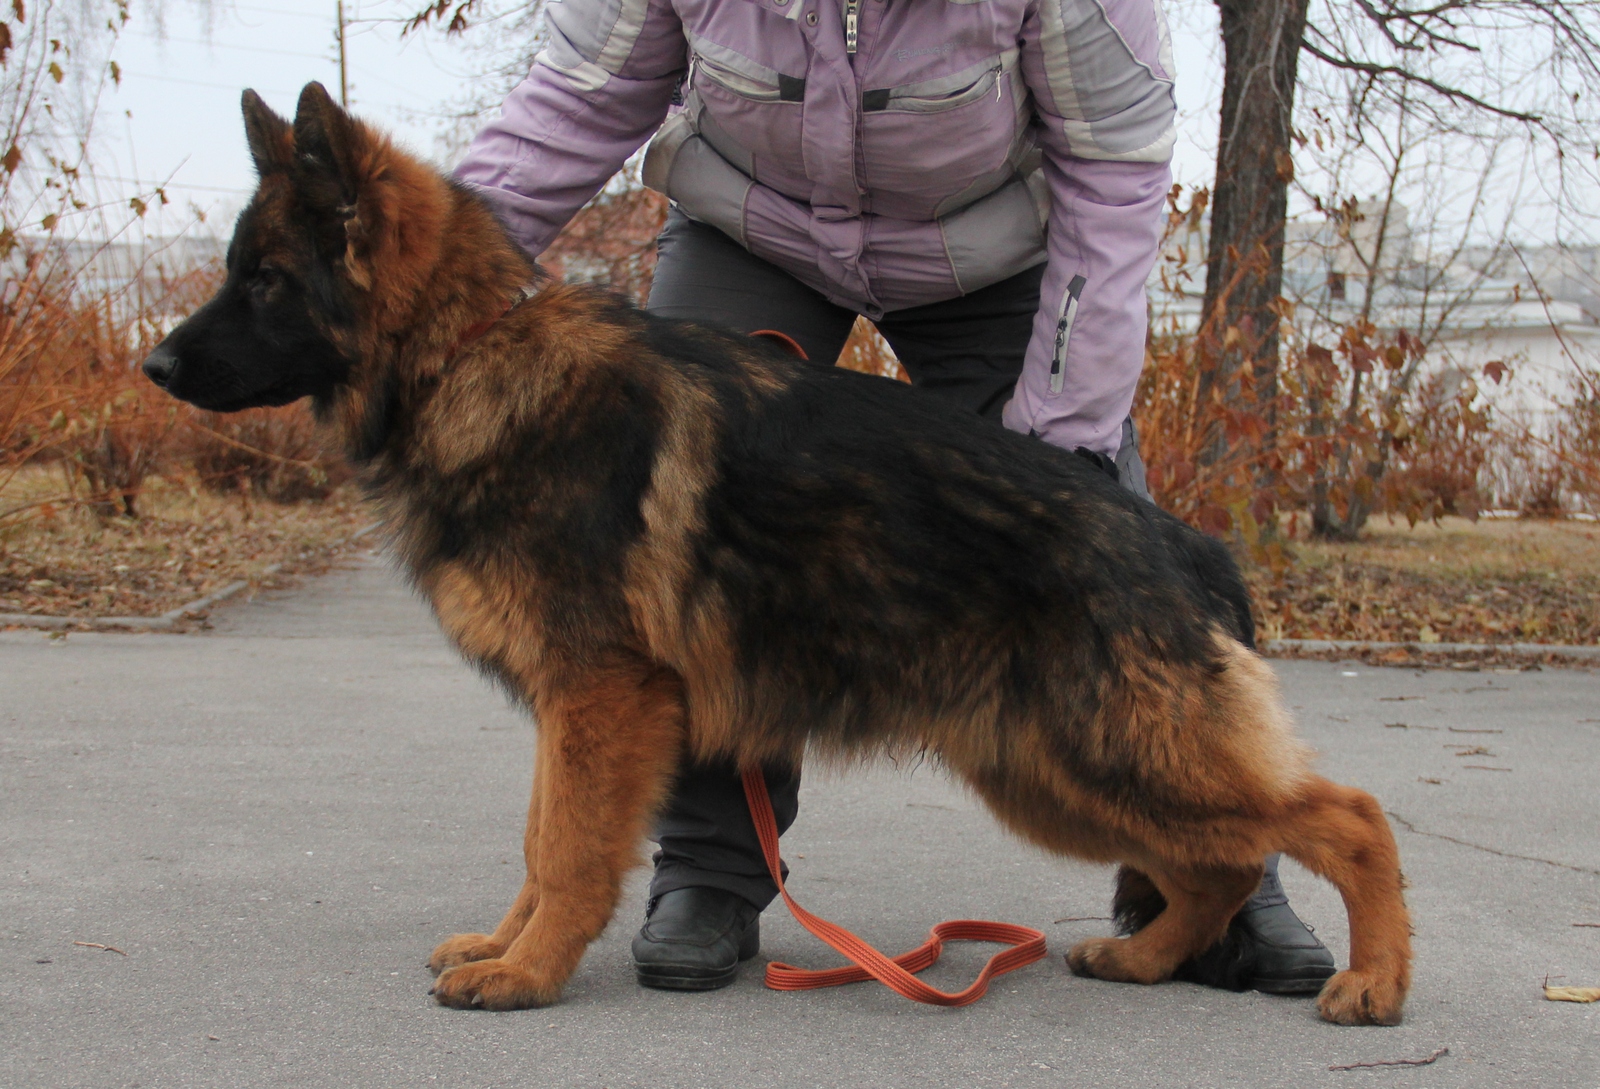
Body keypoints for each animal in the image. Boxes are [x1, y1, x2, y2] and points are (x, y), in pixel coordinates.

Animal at [144, 82, 1408, 1017]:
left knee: (1344, 817)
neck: (464, 354)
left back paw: (1372, 981)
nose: (152, 368)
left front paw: (529, 972)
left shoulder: (597, 697)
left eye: (265, 280)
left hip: (1117, 752)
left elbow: (566, 849)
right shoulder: (575, 705)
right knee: (1219, 862)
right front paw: (504, 947)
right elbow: (539, 835)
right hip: (1054, 772)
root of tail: (1185, 542)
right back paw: (1145, 960)